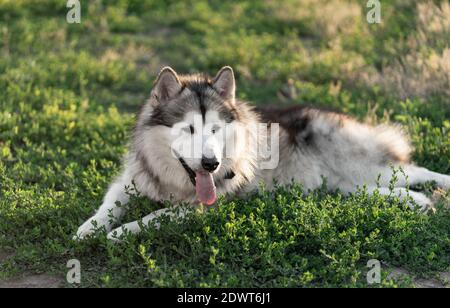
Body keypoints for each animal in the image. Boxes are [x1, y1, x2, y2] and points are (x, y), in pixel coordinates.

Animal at [74, 66, 450, 242]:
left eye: (215, 130)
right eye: (188, 129)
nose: (212, 164)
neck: (173, 179)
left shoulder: (204, 206)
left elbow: (155, 216)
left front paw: (122, 232)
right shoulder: (132, 177)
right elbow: (111, 202)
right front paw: (90, 227)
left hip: (364, 165)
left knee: (416, 170)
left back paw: (438, 186)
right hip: (345, 185)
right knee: (377, 190)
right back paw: (417, 201)